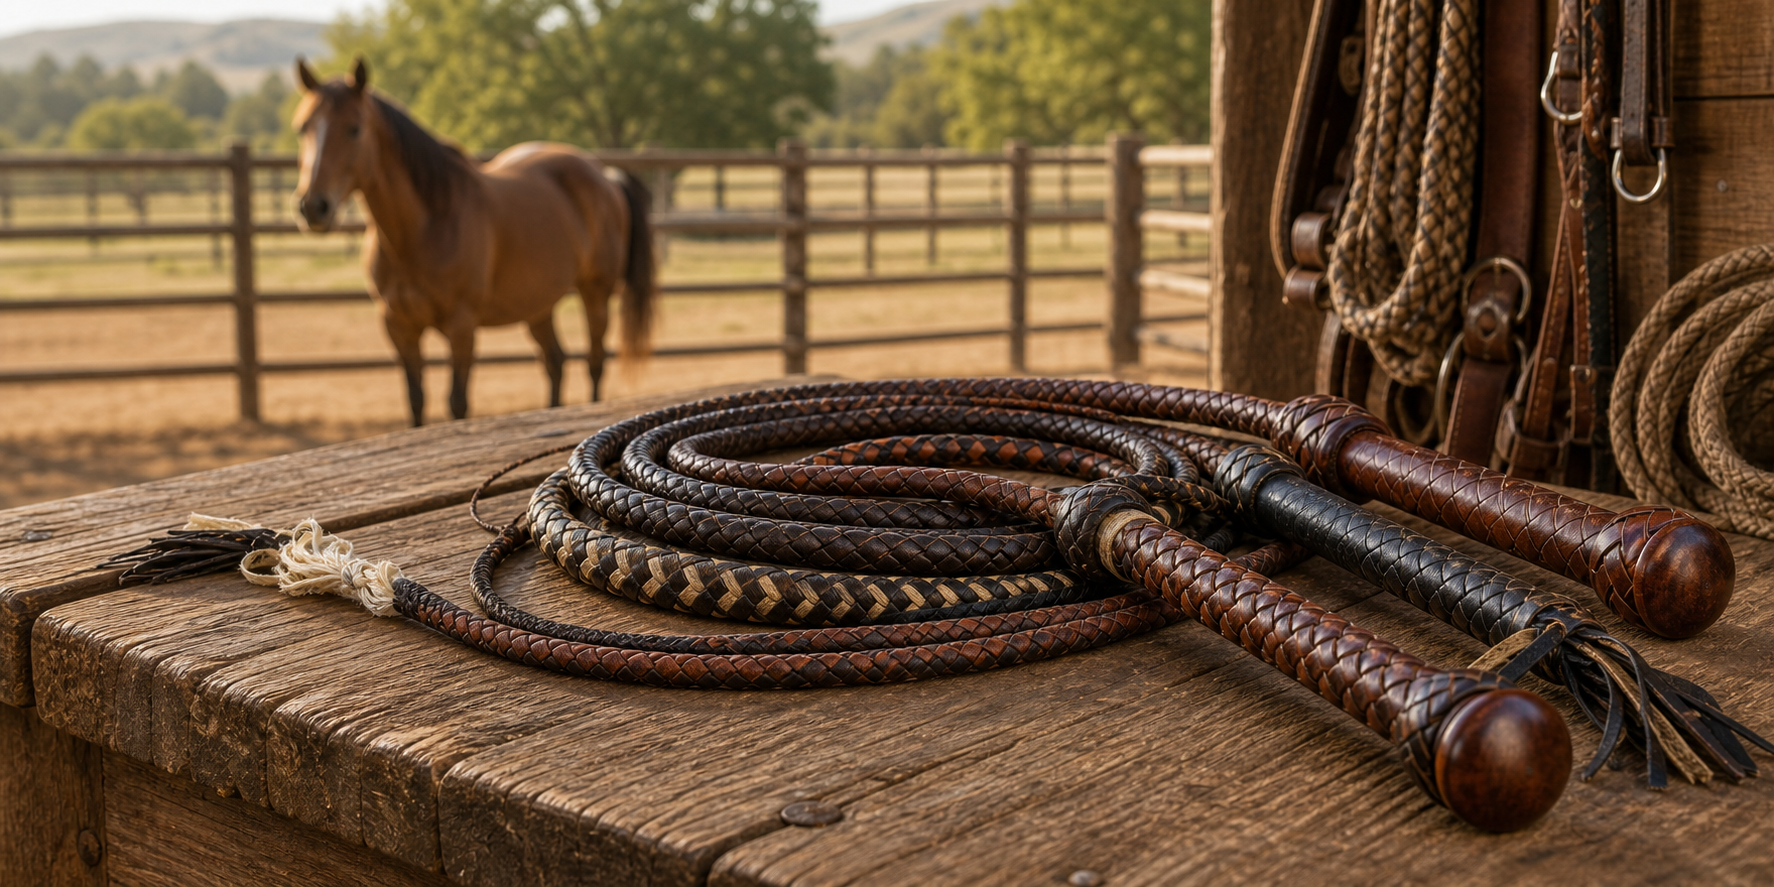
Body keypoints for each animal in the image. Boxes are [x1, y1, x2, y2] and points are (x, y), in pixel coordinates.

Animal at [290, 57, 654, 426]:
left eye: (354, 128)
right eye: (302, 128)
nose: (313, 206)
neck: (427, 225)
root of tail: (605, 176)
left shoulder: (461, 326)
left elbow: (458, 402)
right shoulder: (398, 325)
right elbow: (415, 400)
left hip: (595, 293)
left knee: (594, 364)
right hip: (538, 305)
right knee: (555, 362)